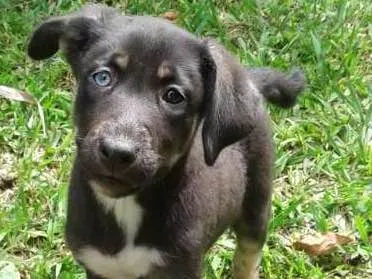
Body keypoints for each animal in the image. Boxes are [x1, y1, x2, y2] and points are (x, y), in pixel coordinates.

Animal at [27, 4, 304, 279]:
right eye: (102, 77)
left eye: (173, 96)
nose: (117, 152)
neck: (125, 206)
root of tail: (251, 80)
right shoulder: (99, 265)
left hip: (257, 199)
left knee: (248, 254)